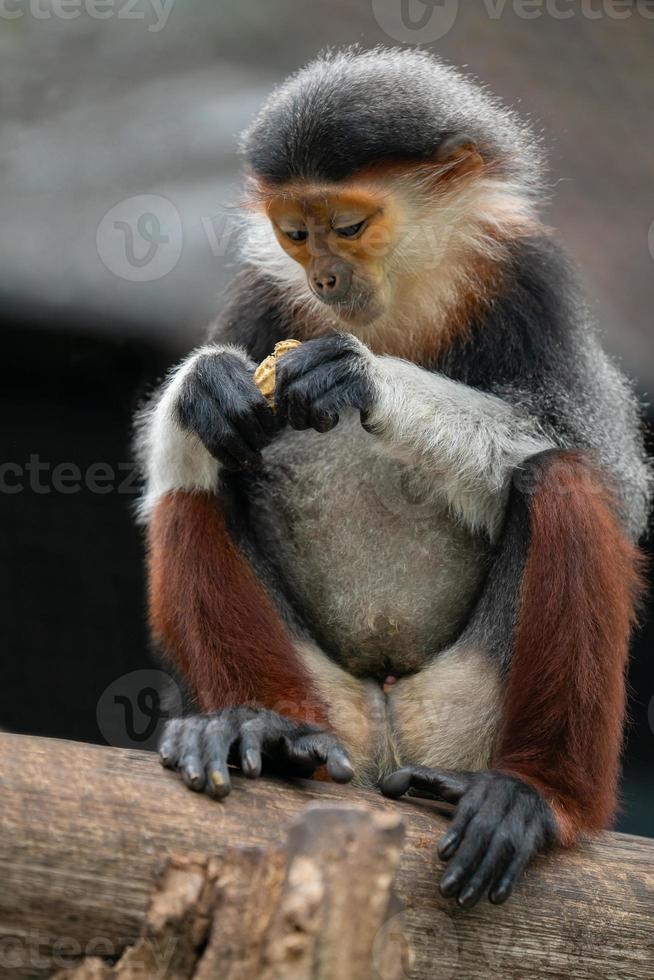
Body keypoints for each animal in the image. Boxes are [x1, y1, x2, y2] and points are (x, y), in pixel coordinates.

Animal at [136, 49, 652, 908]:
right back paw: (260, 729)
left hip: (471, 708)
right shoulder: (264, 287)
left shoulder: (528, 275)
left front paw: (364, 379)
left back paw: (537, 796)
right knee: (197, 469)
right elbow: (200, 427)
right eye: (297, 234)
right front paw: (205, 384)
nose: (326, 282)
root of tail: (387, 722)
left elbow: (610, 473)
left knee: (564, 479)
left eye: (350, 227)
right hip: (330, 699)